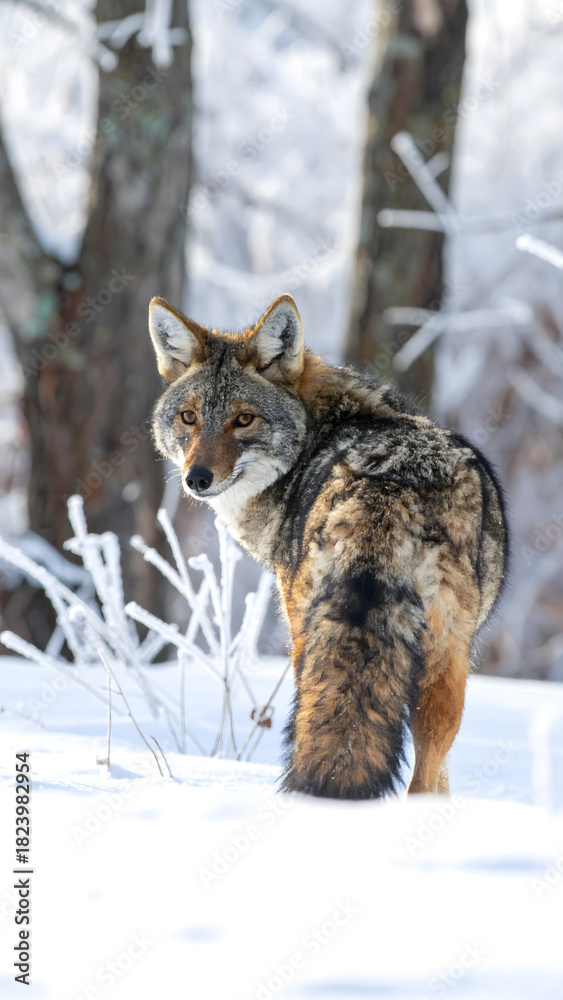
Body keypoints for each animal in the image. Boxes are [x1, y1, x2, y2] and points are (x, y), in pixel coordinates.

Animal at [148, 293, 508, 799]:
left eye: (243, 419)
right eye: (189, 417)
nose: (196, 479)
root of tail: (389, 490)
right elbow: (443, 779)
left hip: (317, 642)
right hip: (440, 661)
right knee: (422, 769)